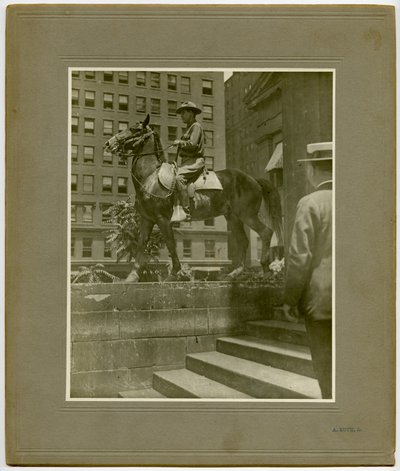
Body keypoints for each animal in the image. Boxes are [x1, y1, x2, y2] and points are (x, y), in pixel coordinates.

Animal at [104, 114, 282, 282]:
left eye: (134, 129)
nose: (108, 143)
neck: (151, 177)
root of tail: (254, 179)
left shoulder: (162, 218)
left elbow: (171, 244)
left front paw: (174, 273)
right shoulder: (146, 219)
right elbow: (141, 244)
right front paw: (132, 276)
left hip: (247, 215)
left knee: (266, 232)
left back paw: (266, 270)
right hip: (233, 217)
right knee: (244, 241)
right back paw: (234, 274)